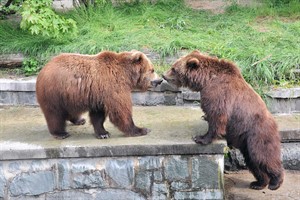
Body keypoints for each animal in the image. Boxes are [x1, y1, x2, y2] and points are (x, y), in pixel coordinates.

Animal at [164, 50, 284, 191]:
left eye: (173, 68)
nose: (163, 75)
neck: (205, 80)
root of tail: (275, 124)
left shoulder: (219, 93)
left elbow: (217, 117)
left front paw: (200, 138)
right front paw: (204, 119)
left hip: (258, 134)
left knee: (262, 155)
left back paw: (275, 181)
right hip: (245, 140)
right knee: (252, 161)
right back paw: (258, 183)